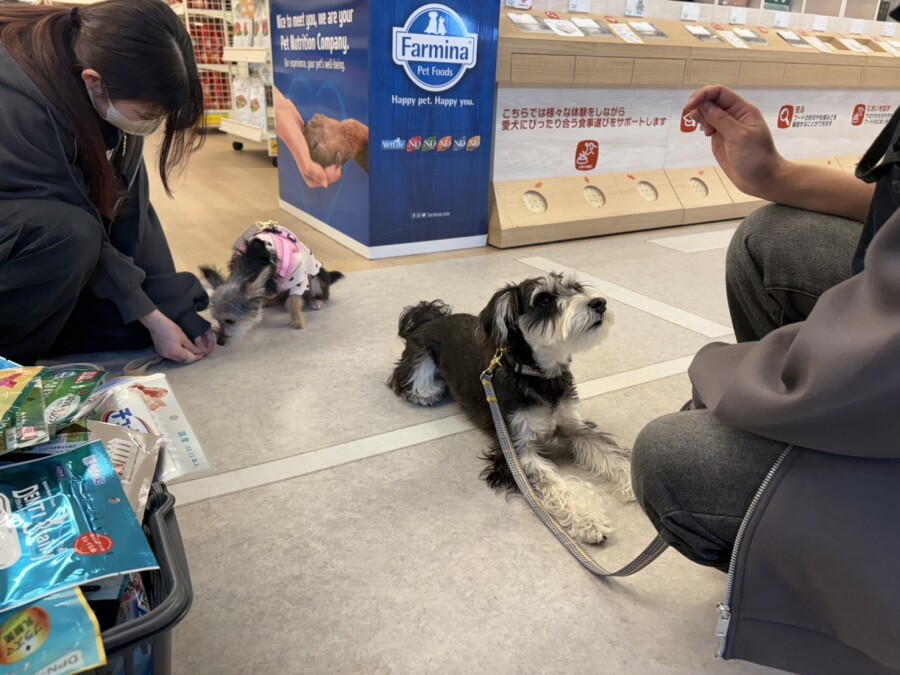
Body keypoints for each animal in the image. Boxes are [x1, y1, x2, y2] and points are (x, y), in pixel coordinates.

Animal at [199, 221, 343, 345]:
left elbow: (294, 301)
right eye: (216, 319)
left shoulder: (299, 275)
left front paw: (297, 320)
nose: (219, 342)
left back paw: (316, 300)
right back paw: (269, 300)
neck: (252, 261)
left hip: (316, 277)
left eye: (230, 321)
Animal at [388, 273, 634, 543]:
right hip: (420, 364)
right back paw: (427, 393)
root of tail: (433, 317)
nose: (599, 303)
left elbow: (611, 453)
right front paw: (587, 519)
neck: (538, 375)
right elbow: (553, 481)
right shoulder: (516, 450)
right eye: (544, 299)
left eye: (576, 287)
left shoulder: (576, 427)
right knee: (413, 382)